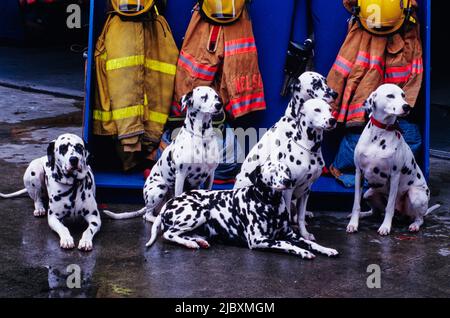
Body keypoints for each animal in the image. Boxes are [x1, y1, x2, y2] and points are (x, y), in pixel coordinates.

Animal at [102, 85, 221, 222]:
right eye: (204, 97)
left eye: (216, 96)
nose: (219, 105)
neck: (201, 137)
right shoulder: (181, 175)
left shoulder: (210, 175)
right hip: (160, 188)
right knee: (147, 215)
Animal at [146, 160, 340, 260]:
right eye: (272, 169)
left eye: (285, 169)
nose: (288, 181)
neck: (270, 203)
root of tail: (168, 204)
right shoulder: (258, 240)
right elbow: (286, 244)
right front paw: (303, 252)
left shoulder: (290, 234)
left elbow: (308, 242)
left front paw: (325, 249)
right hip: (199, 211)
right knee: (169, 234)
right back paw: (190, 243)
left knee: (182, 234)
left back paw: (198, 241)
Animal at [348, 83, 440, 235]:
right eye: (390, 96)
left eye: (403, 95)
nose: (407, 107)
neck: (380, 134)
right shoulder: (358, 173)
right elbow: (356, 204)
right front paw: (353, 224)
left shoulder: (394, 176)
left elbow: (389, 207)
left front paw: (385, 227)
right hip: (369, 193)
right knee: (374, 212)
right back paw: (364, 214)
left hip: (415, 196)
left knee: (419, 218)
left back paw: (414, 225)